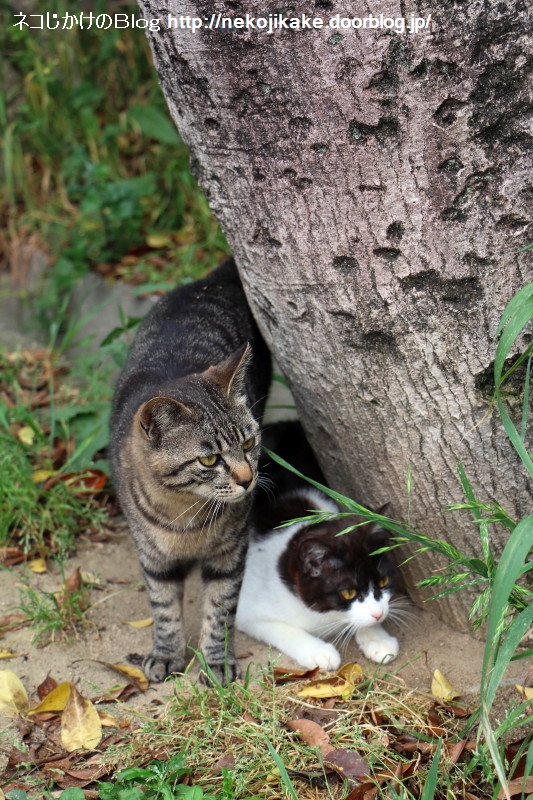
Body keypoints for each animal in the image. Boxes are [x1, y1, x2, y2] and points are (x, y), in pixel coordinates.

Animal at [111, 260, 270, 680]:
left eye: (248, 444)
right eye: (209, 460)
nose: (247, 480)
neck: (184, 514)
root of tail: (212, 279)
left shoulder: (230, 553)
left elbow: (221, 608)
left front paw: (216, 661)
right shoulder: (153, 558)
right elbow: (163, 608)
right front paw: (167, 652)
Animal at [237, 422, 400, 672]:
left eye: (383, 581)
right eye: (348, 592)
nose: (379, 614)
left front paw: (378, 639)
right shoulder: (246, 604)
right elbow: (279, 628)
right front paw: (319, 652)